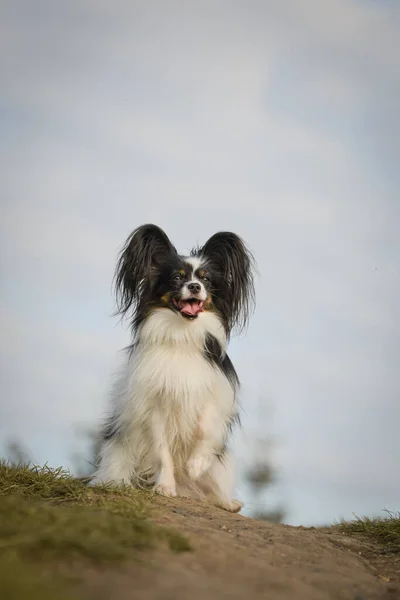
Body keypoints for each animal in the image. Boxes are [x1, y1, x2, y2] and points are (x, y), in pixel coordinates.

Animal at [90, 223, 255, 512]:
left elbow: (204, 427)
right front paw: (165, 486)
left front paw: (196, 464)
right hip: (119, 448)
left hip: (221, 467)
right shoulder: (154, 404)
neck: (183, 335)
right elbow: (162, 450)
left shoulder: (215, 393)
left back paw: (226, 502)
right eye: (177, 278)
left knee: (211, 490)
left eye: (206, 280)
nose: (194, 286)